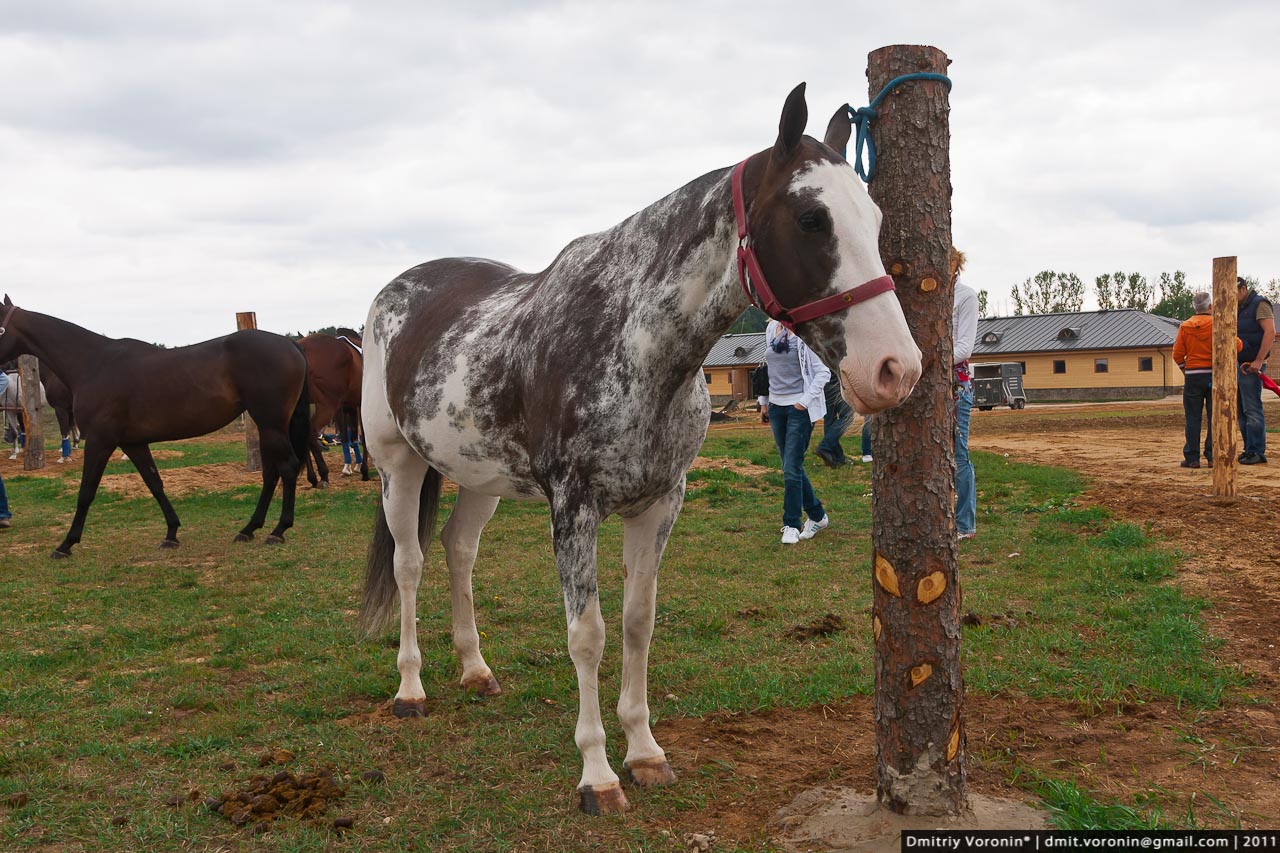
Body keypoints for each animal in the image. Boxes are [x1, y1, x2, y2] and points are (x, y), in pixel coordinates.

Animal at [0, 297, 312, 558]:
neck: (94, 364)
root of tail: (292, 345)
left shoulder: (101, 441)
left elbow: (86, 491)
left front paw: (66, 544)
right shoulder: (132, 443)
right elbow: (154, 483)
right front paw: (171, 533)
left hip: (271, 423)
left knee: (287, 467)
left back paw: (278, 531)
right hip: (269, 426)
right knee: (271, 472)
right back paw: (249, 529)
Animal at [297, 330, 368, 486]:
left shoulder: (348, 406)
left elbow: (352, 437)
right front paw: (363, 470)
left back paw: (312, 477)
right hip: (327, 406)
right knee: (311, 432)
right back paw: (323, 474)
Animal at [357, 83, 923, 815]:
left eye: (874, 218)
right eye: (810, 217)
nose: (895, 369)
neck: (634, 343)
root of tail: (395, 294)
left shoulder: (658, 502)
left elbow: (637, 621)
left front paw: (645, 751)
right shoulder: (574, 508)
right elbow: (588, 634)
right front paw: (597, 773)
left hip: (479, 475)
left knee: (459, 550)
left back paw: (475, 670)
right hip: (398, 465)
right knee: (410, 563)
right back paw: (411, 689)